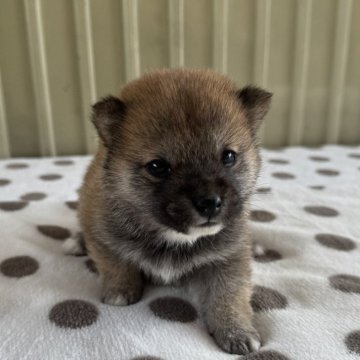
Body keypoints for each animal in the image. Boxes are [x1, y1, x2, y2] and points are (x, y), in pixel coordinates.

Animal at [69, 69, 272, 356]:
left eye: (229, 157)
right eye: (157, 167)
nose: (210, 202)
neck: (172, 235)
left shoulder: (229, 257)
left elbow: (229, 294)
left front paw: (236, 330)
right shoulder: (102, 236)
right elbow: (116, 264)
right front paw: (121, 291)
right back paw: (76, 241)